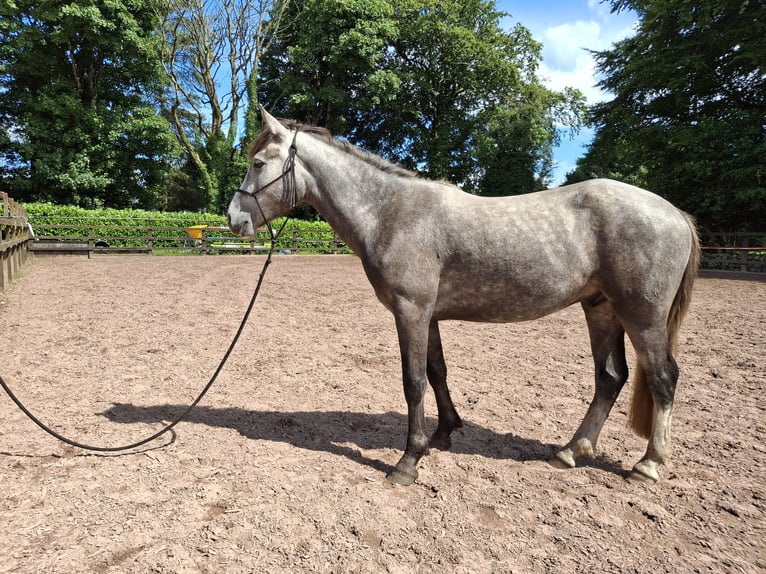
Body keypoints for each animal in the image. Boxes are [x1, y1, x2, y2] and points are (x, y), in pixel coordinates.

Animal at [226, 107, 704, 486]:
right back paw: (571, 450)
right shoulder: (429, 315)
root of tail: (673, 213)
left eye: (259, 162)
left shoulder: (411, 312)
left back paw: (648, 464)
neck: (389, 212)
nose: (234, 219)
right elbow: (437, 372)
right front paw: (444, 433)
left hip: (642, 316)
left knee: (663, 378)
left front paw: (409, 460)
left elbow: (413, 381)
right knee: (610, 377)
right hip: (601, 309)